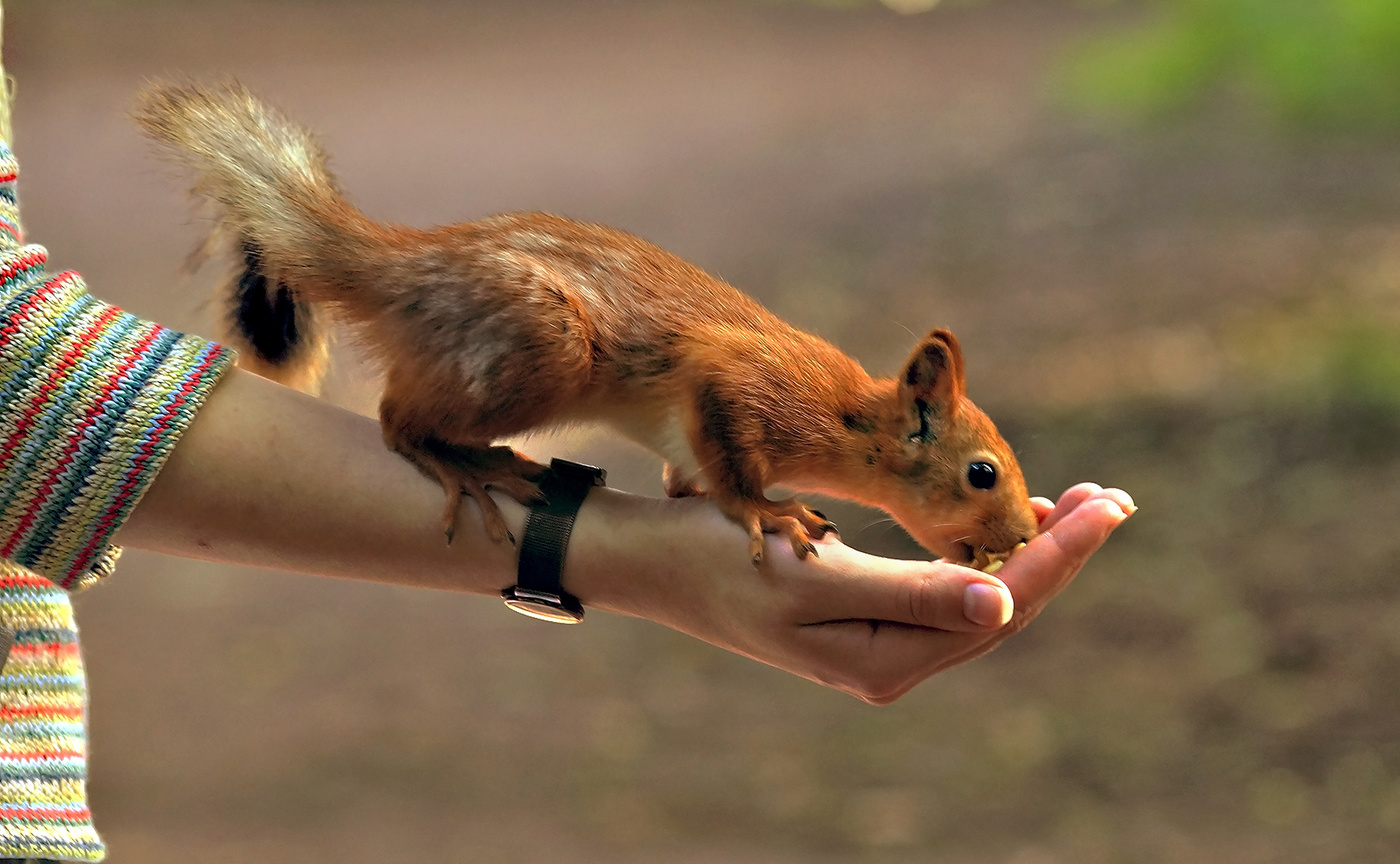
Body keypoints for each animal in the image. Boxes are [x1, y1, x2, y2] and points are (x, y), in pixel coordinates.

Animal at [135, 81, 1039, 567]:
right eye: (981, 473)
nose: (1025, 535)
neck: (848, 420)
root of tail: (404, 269)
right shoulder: (743, 385)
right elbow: (732, 466)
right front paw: (767, 511)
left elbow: (686, 476)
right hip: (541, 349)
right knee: (396, 421)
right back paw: (466, 463)